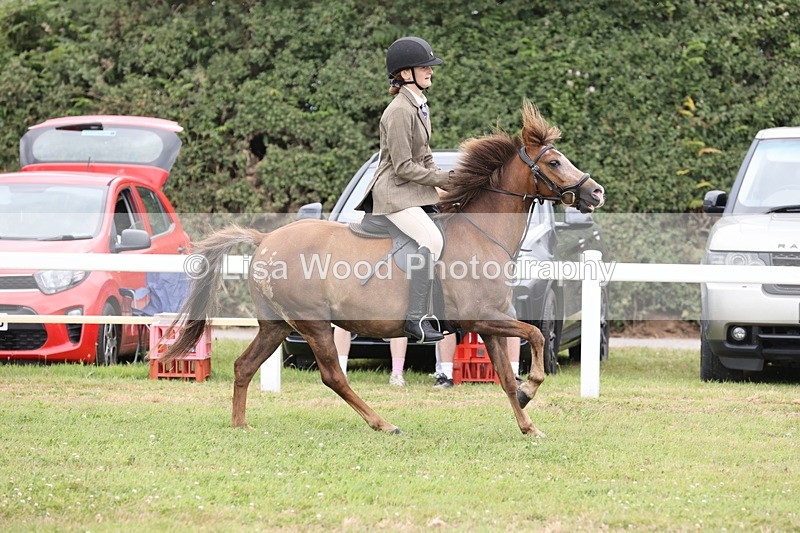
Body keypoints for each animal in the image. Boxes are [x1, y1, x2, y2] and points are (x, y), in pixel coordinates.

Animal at [163, 101, 605, 436]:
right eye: (554, 161)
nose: (596, 192)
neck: (483, 235)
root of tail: (266, 240)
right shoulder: (483, 318)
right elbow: (536, 337)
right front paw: (532, 390)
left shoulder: (493, 321)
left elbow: (508, 377)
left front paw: (529, 424)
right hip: (314, 325)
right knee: (333, 376)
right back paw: (383, 423)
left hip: (277, 325)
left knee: (245, 365)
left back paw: (240, 425)